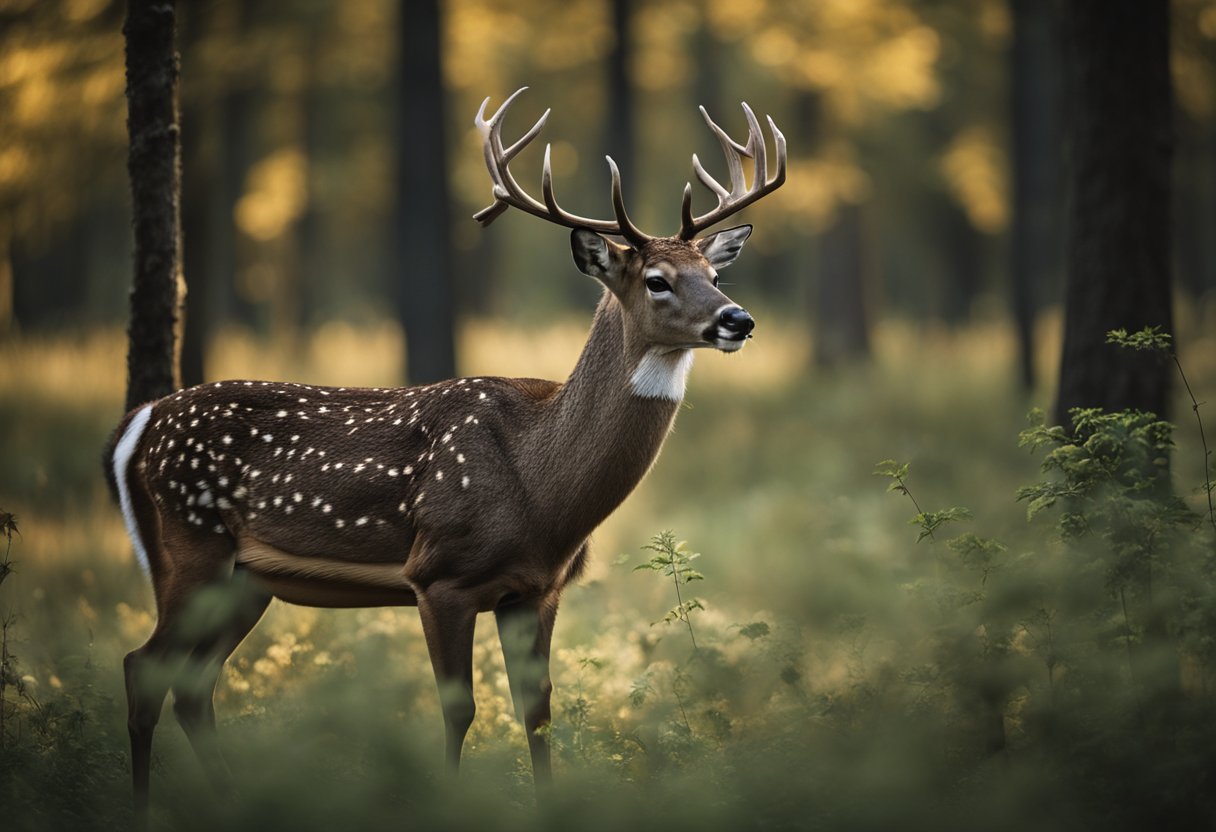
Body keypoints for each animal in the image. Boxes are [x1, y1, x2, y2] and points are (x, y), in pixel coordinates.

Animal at [107, 87, 787, 807]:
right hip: (189, 546)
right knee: (142, 668)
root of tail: (136, 424)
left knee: (191, 686)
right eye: (657, 279)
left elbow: (538, 711)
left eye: (713, 271)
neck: (543, 491)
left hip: (244, 580)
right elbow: (458, 708)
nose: (738, 319)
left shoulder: (537, 589)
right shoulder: (440, 574)